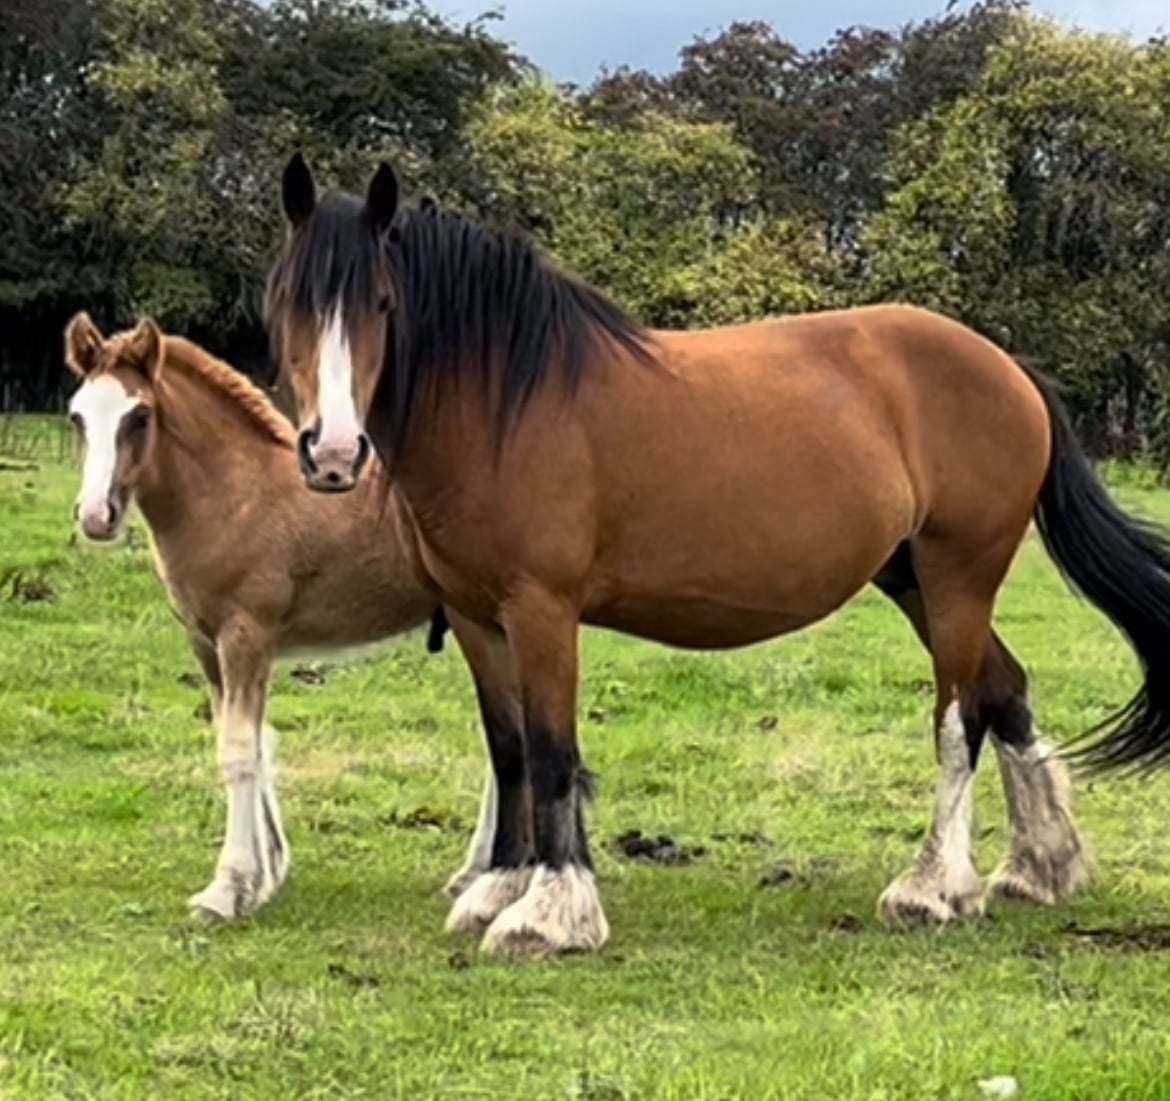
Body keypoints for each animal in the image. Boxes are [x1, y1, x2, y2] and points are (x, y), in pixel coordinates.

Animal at [62, 313, 503, 920]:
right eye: (78, 415)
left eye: (140, 416)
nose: (95, 517)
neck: (232, 495)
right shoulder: (208, 643)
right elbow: (248, 741)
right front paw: (266, 875)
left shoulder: (246, 635)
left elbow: (239, 751)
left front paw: (227, 888)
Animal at [264, 152, 1170, 959]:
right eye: (286, 301)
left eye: (383, 302)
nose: (333, 453)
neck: (503, 402)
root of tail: (1006, 367)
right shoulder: (474, 614)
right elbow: (510, 747)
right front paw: (498, 888)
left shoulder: (542, 610)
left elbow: (553, 751)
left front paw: (551, 912)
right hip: (912, 576)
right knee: (1005, 687)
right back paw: (1040, 865)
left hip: (958, 575)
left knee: (960, 715)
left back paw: (933, 886)